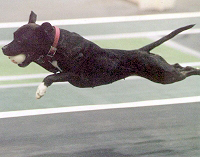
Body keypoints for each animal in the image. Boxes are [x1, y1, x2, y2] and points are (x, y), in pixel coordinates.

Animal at [1, 11, 200, 98]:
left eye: (20, 40)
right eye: (14, 36)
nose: (3, 48)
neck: (57, 44)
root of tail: (142, 50)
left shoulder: (72, 74)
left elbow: (49, 77)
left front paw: (40, 90)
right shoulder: (55, 67)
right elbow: (45, 66)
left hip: (165, 76)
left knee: (185, 70)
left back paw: (197, 71)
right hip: (163, 72)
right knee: (179, 66)